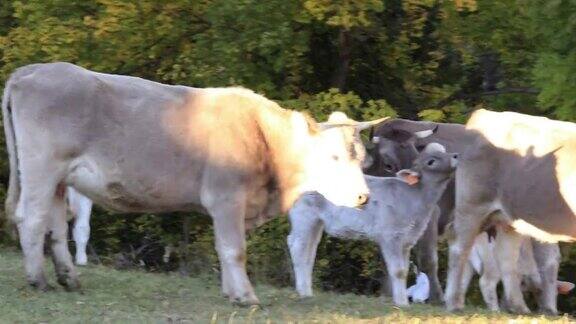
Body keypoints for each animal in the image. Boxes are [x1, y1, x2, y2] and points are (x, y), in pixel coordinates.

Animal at [3, 62, 382, 306]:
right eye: (334, 156)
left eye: (362, 157)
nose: (363, 196)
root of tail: (33, 70)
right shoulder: (227, 198)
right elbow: (234, 248)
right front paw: (246, 297)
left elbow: (223, 248)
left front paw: (231, 292)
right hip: (41, 168)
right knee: (32, 219)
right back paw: (39, 280)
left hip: (59, 178)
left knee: (55, 225)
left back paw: (69, 278)